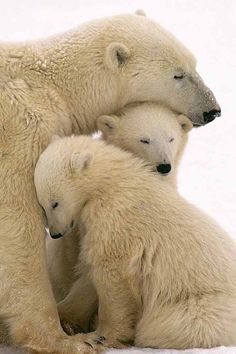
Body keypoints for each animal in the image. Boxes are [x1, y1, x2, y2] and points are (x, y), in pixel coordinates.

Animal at [0, 9, 220, 354]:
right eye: (177, 75)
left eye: (194, 63)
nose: (213, 110)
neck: (56, 87)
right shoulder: (22, 129)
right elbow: (16, 224)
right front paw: (66, 339)